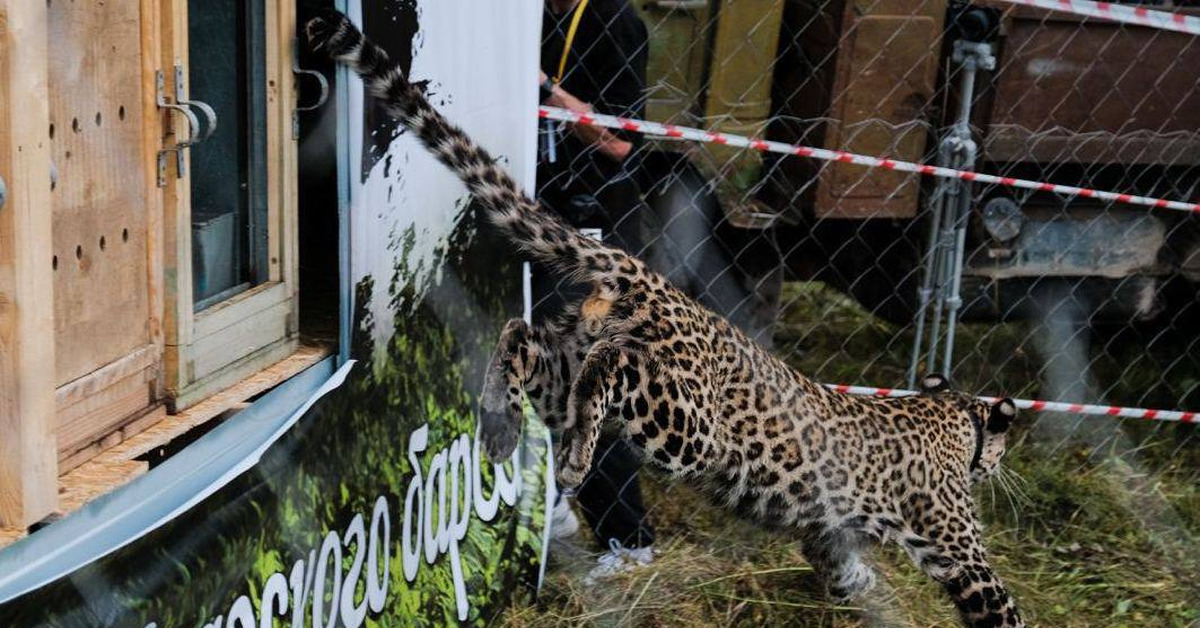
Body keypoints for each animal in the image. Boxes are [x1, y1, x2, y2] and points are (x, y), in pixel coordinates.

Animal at [307, 11, 1022, 628]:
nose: (1000, 469)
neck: (954, 415)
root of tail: (643, 274)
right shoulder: (960, 548)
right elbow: (1002, 606)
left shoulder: (827, 530)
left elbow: (840, 562)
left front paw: (861, 590)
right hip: (685, 423)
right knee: (610, 367)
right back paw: (567, 462)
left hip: (565, 365)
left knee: (520, 337)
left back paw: (502, 430)